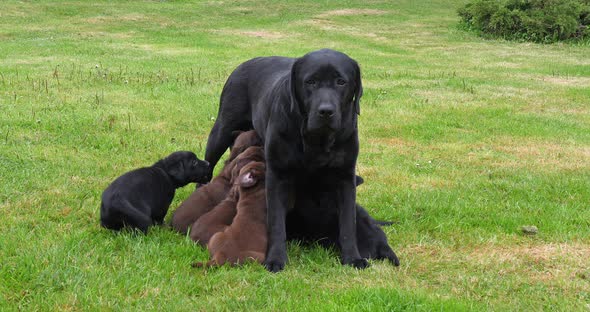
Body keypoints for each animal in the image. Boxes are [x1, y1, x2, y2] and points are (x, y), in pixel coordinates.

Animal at [206, 48, 386, 270]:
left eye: (341, 82)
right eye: (310, 82)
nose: (326, 111)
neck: (316, 140)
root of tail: (245, 63)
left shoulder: (345, 177)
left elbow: (347, 223)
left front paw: (352, 257)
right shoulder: (277, 176)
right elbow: (276, 222)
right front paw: (275, 259)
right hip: (221, 130)